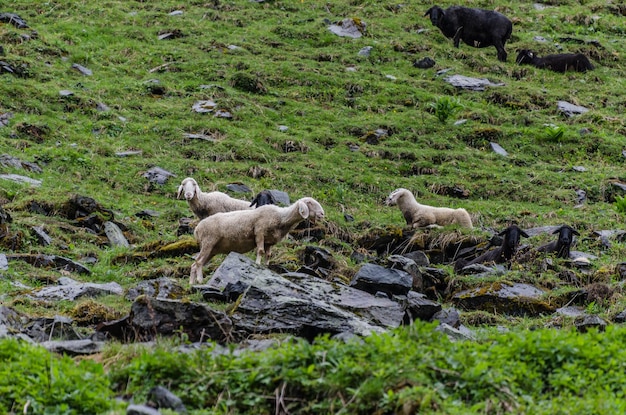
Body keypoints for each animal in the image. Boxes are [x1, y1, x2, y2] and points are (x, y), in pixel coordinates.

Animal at [188, 197, 324, 284]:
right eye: (310, 202)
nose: (322, 214)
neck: (281, 217)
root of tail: (197, 229)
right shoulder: (259, 232)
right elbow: (260, 251)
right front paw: (258, 264)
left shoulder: (270, 241)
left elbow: (268, 255)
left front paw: (266, 266)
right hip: (208, 241)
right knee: (198, 262)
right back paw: (199, 280)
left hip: (212, 249)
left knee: (195, 264)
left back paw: (191, 283)